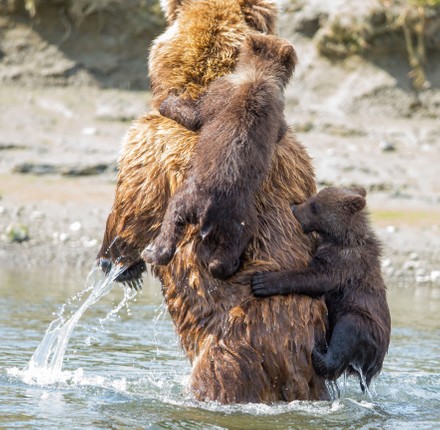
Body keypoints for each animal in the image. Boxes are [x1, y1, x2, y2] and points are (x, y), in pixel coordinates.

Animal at [143, 33, 298, 280]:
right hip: (212, 211)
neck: (258, 75)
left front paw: (170, 101)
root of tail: (207, 210)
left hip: (221, 209)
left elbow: (196, 115)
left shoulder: (225, 92)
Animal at [251, 186, 392, 392]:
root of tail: (375, 366)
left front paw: (262, 281)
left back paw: (318, 353)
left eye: (315, 205)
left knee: (348, 330)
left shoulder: (344, 263)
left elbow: (315, 278)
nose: (293, 208)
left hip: (366, 325)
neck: (343, 238)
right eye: (313, 198)